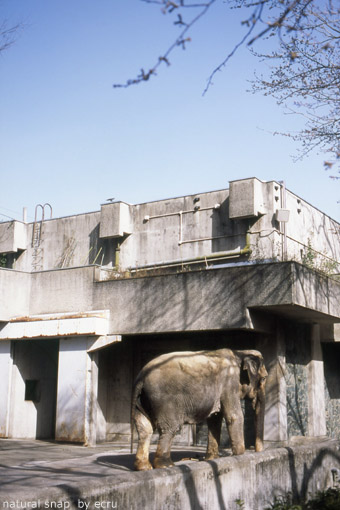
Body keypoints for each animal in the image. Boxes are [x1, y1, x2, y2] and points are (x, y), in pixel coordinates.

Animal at [130, 346, 266, 470]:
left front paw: (212, 459)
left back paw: (144, 467)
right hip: (164, 400)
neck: (239, 352)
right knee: (170, 428)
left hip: (142, 400)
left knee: (145, 428)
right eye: (264, 378)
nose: (256, 452)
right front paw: (240, 457)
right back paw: (166, 465)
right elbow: (234, 416)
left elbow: (214, 420)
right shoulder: (229, 382)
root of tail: (141, 378)